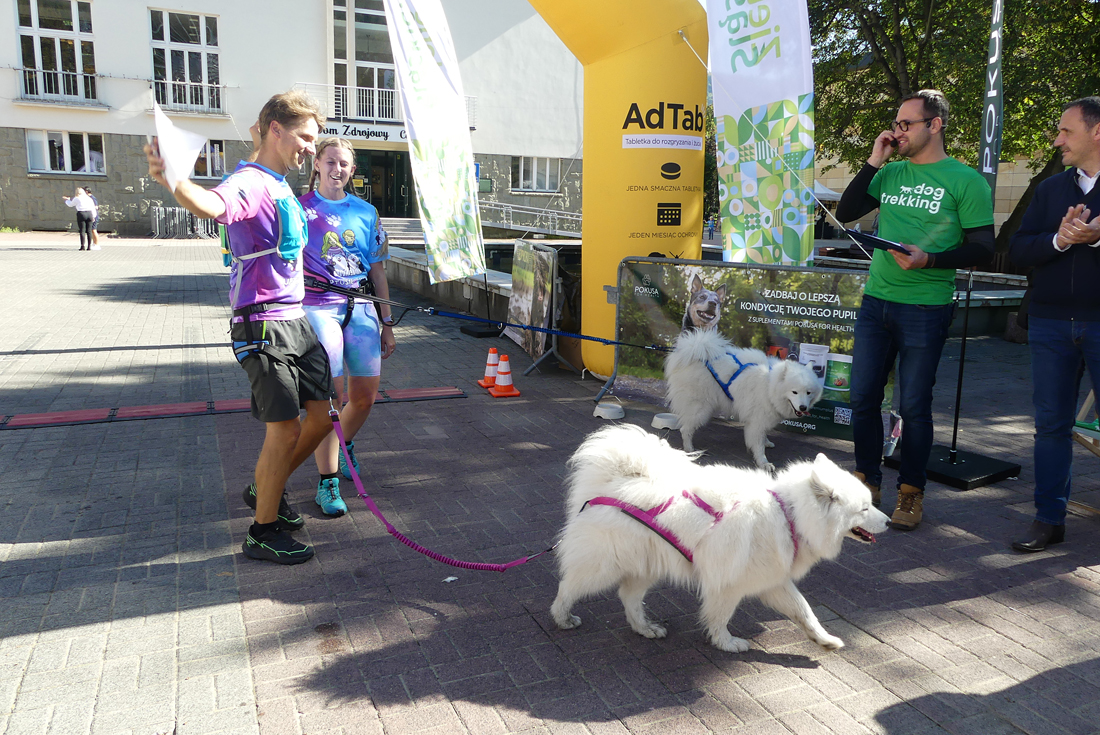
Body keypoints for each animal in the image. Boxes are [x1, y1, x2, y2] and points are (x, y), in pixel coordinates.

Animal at [550, 425, 889, 653]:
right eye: (865, 508)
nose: (887, 521)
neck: (788, 514)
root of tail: (614, 481)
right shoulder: (729, 583)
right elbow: (720, 617)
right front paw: (726, 643)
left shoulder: (774, 581)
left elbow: (805, 611)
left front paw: (824, 640)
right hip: (604, 565)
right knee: (568, 587)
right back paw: (563, 618)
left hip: (647, 564)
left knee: (628, 597)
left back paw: (645, 628)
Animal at [665, 329, 822, 471]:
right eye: (794, 392)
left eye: (808, 393)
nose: (803, 407)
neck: (769, 385)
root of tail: (693, 351)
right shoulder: (756, 421)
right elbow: (758, 446)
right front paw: (764, 463)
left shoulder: (762, 418)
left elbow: (763, 435)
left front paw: (767, 442)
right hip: (700, 408)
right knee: (685, 429)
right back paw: (689, 449)